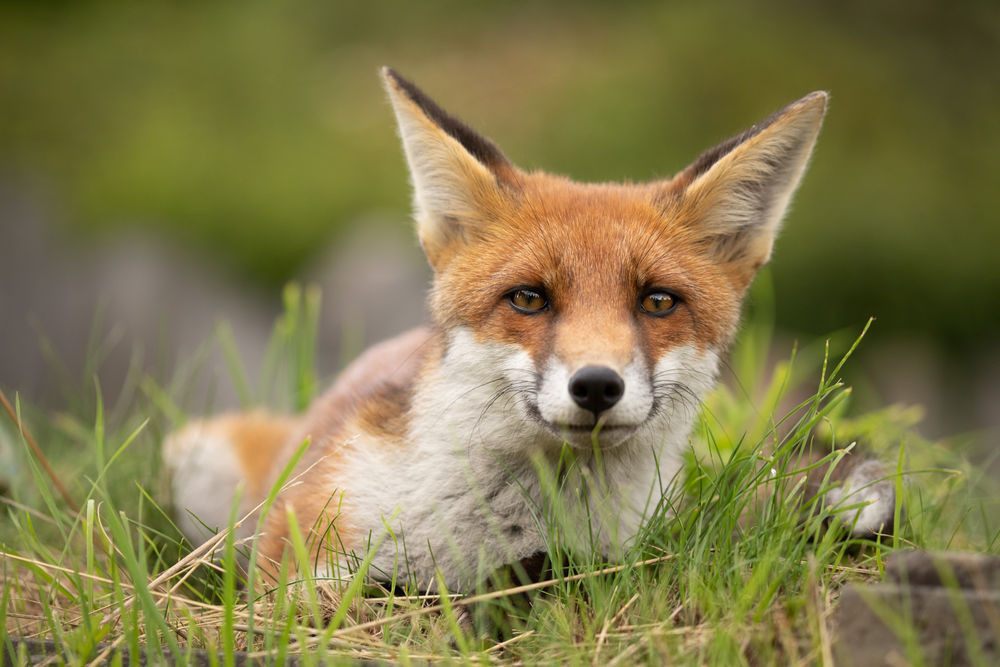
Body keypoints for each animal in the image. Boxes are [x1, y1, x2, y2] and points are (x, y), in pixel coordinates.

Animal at [165, 67, 894, 592]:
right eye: (529, 298)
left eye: (658, 301)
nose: (596, 386)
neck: (506, 528)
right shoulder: (309, 566)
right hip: (197, 458)